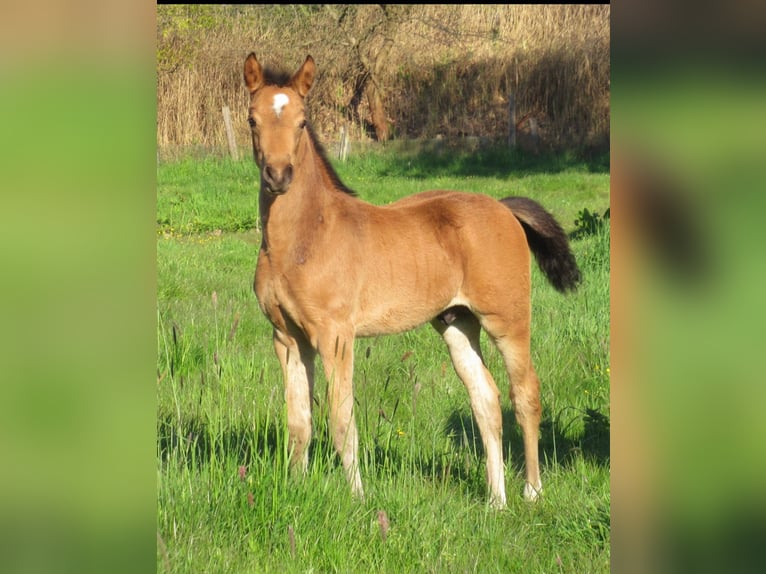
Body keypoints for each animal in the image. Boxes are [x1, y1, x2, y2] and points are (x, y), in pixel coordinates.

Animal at [243, 51, 580, 506]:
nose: (279, 175)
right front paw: (297, 490)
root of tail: (503, 208)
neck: (304, 238)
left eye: (301, 121)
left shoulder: (335, 337)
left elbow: (342, 419)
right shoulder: (287, 337)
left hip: (506, 321)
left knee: (525, 394)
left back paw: (531, 490)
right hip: (456, 323)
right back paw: (495, 501)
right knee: (486, 401)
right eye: (252, 119)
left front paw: (358, 499)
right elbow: (299, 422)